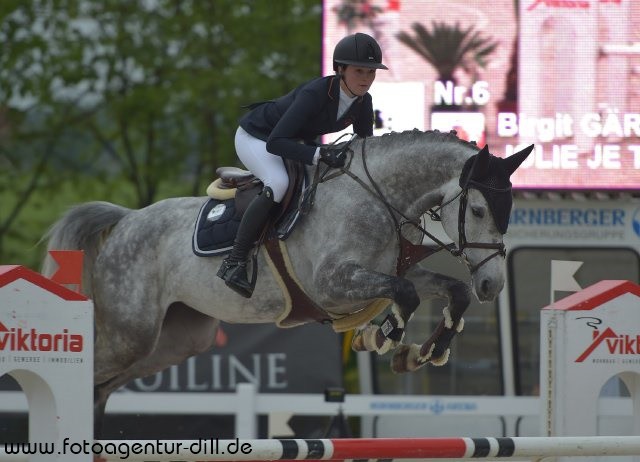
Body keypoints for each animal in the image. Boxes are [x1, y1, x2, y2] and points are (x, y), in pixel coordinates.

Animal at [41, 127, 528, 430]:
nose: (493, 286)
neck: (378, 198)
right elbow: (404, 295)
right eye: (479, 210)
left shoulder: (386, 275)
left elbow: (452, 291)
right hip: (132, 333)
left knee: (102, 388)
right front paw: (384, 337)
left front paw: (424, 352)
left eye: (507, 213)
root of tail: (125, 221)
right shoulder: (333, 285)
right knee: (90, 377)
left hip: (176, 340)